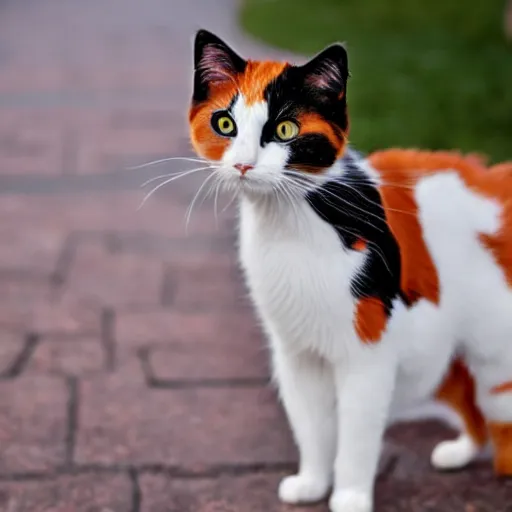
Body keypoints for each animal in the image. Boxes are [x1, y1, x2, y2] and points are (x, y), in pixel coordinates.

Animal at [188, 29, 512, 512]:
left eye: (285, 130)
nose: (244, 164)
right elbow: (311, 426)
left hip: (494, 354)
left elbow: (356, 434)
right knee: (465, 396)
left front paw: (350, 496)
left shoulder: (367, 356)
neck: (290, 223)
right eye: (224, 124)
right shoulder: (296, 354)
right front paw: (313, 483)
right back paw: (459, 452)